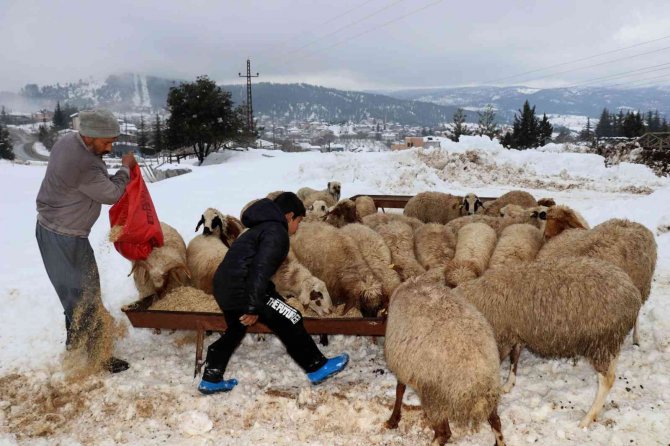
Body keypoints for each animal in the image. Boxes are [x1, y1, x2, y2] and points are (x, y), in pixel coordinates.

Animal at [386, 278, 506, 446]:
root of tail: (478, 378)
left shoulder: (402, 368)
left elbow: (399, 390)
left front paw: (393, 420)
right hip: (490, 390)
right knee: (496, 421)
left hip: (435, 397)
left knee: (444, 433)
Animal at [454, 254, 644, 426]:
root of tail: (633, 294)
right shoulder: (515, 333)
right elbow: (515, 359)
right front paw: (509, 384)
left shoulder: (501, 337)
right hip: (610, 341)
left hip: (600, 343)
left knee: (607, 380)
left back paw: (587, 419)